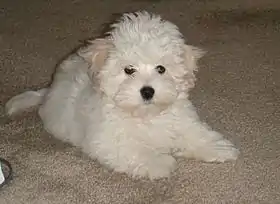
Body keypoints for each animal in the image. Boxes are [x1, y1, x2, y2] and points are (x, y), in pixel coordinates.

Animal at [5, 11, 240, 178]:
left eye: (161, 69)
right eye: (129, 70)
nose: (147, 91)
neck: (146, 115)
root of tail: (50, 89)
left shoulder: (181, 120)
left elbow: (195, 133)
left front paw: (218, 147)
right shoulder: (108, 139)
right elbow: (134, 149)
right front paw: (160, 162)